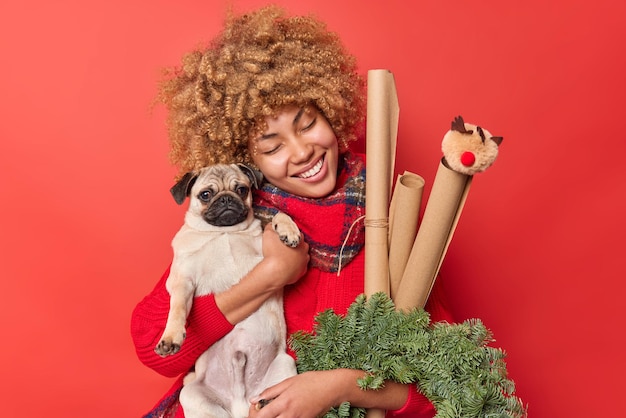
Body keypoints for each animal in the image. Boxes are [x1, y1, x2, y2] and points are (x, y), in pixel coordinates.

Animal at [155, 163, 298, 418]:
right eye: (205, 195)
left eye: (241, 189)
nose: (226, 199)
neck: (223, 232)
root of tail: (240, 403)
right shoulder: (183, 279)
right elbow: (178, 307)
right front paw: (171, 336)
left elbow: (277, 215)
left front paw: (288, 230)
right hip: (191, 394)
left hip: (285, 365)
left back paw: (265, 402)